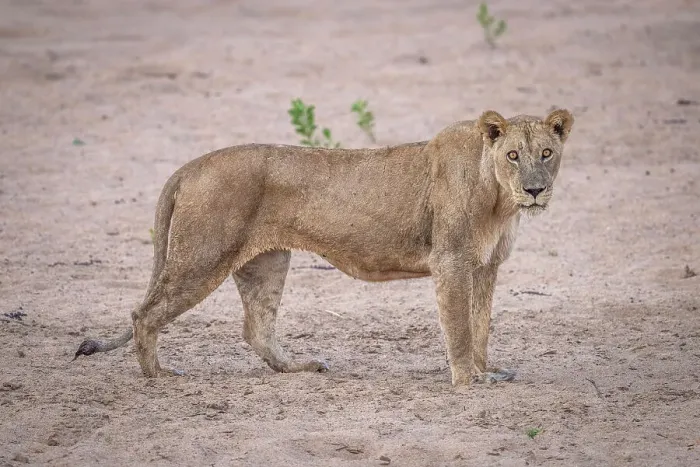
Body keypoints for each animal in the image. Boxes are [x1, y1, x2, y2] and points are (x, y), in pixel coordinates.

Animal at [74, 108, 574, 387]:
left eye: (547, 153)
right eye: (513, 155)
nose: (534, 191)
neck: (499, 199)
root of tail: (192, 165)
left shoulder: (486, 266)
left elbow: (482, 325)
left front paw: (487, 371)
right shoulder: (450, 261)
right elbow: (460, 328)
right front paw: (467, 381)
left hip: (266, 261)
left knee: (256, 329)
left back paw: (300, 367)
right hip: (201, 257)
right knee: (144, 314)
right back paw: (157, 376)